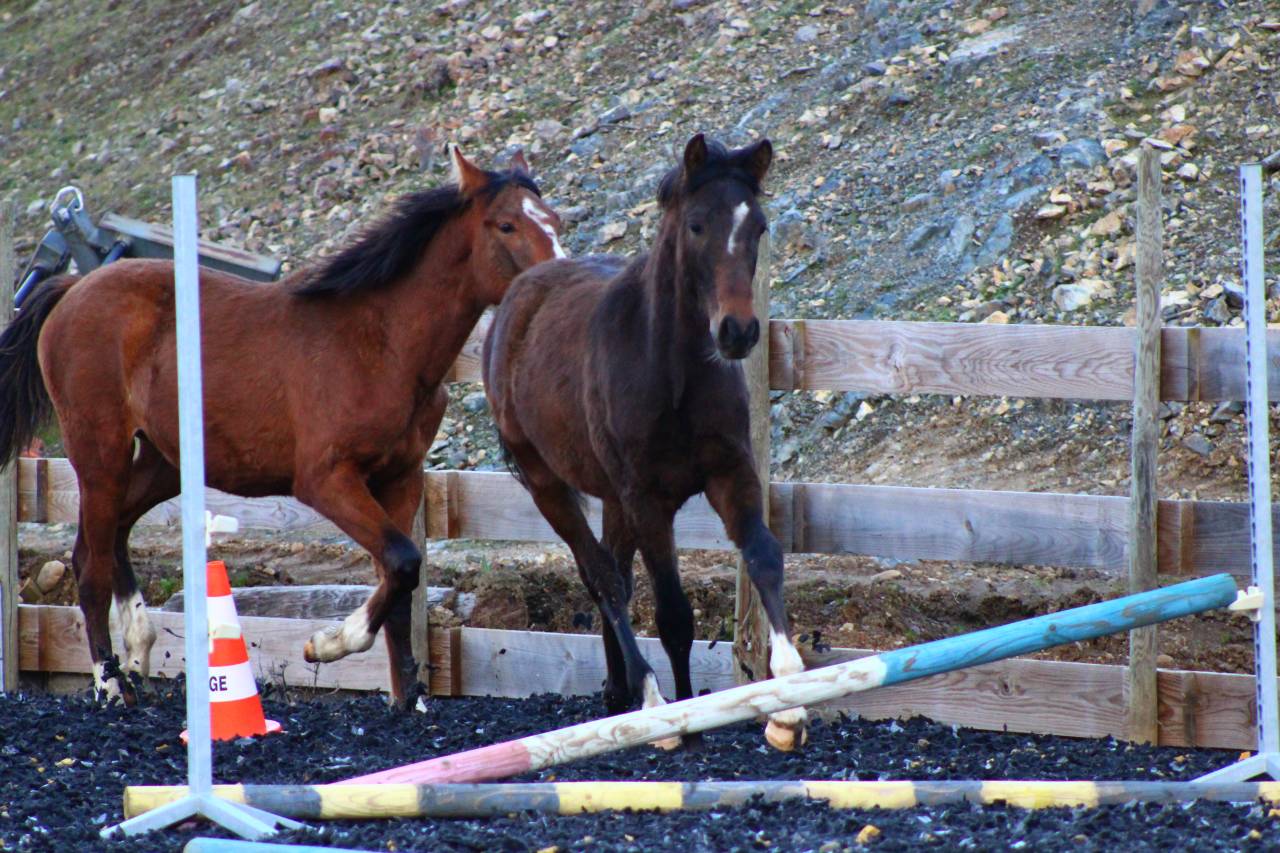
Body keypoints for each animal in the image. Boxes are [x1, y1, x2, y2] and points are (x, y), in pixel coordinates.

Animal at [0, 146, 564, 709]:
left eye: (554, 221)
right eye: (507, 225)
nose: (555, 283)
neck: (382, 345)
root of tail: (75, 287)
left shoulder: (401, 479)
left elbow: (402, 579)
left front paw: (410, 700)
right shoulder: (326, 480)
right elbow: (402, 562)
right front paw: (327, 644)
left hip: (166, 461)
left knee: (114, 531)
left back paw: (138, 652)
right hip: (101, 453)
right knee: (89, 562)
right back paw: (110, 682)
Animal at [483, 134, 807, 751]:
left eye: (758, 227)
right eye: (697, 225)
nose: (738, 332)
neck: (672, 372)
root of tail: (518, 293)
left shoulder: (731, 474)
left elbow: (764, 557)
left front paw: (788, 705)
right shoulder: (648, 500)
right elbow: (674, 612)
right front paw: (673, 717)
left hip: (611, 497)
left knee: (617, 573)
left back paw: (619, 691)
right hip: (548, 483)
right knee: (603, 577)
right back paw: (645, 694)